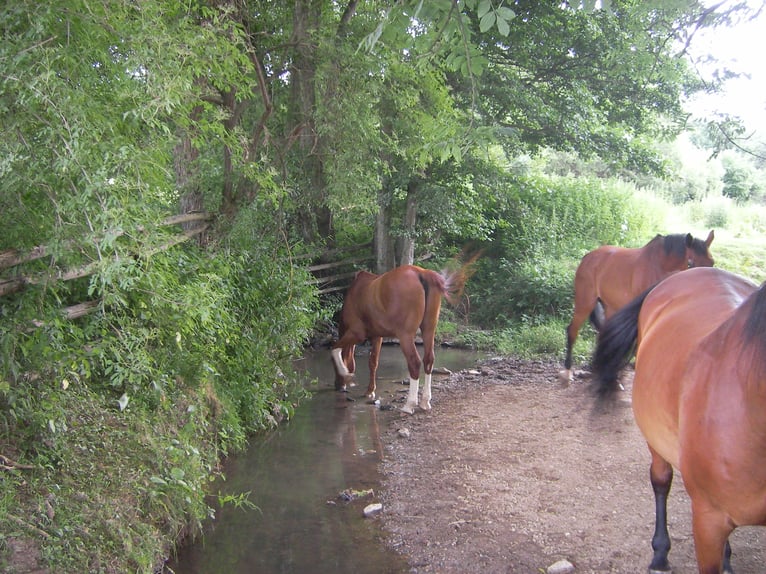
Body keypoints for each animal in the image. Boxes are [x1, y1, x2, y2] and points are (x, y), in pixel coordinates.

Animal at [332, 258, 476, 416]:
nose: (337, 386)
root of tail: (422, 273)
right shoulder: (377, 336)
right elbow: (373, 362)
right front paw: (370, 391)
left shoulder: (357, 334)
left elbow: (335, 350)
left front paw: (346, 374)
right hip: (428, 330)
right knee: (428, 360)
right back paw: (425, 402)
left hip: (405, 335)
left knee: (414, 362)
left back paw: (409, 405)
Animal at [560, 232, 716, 384]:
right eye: (690, 263)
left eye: (712, 262)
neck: (660, 266)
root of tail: (588, 256)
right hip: (585, 303)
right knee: (572, 331)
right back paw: (568, 371)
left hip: (610, 307)